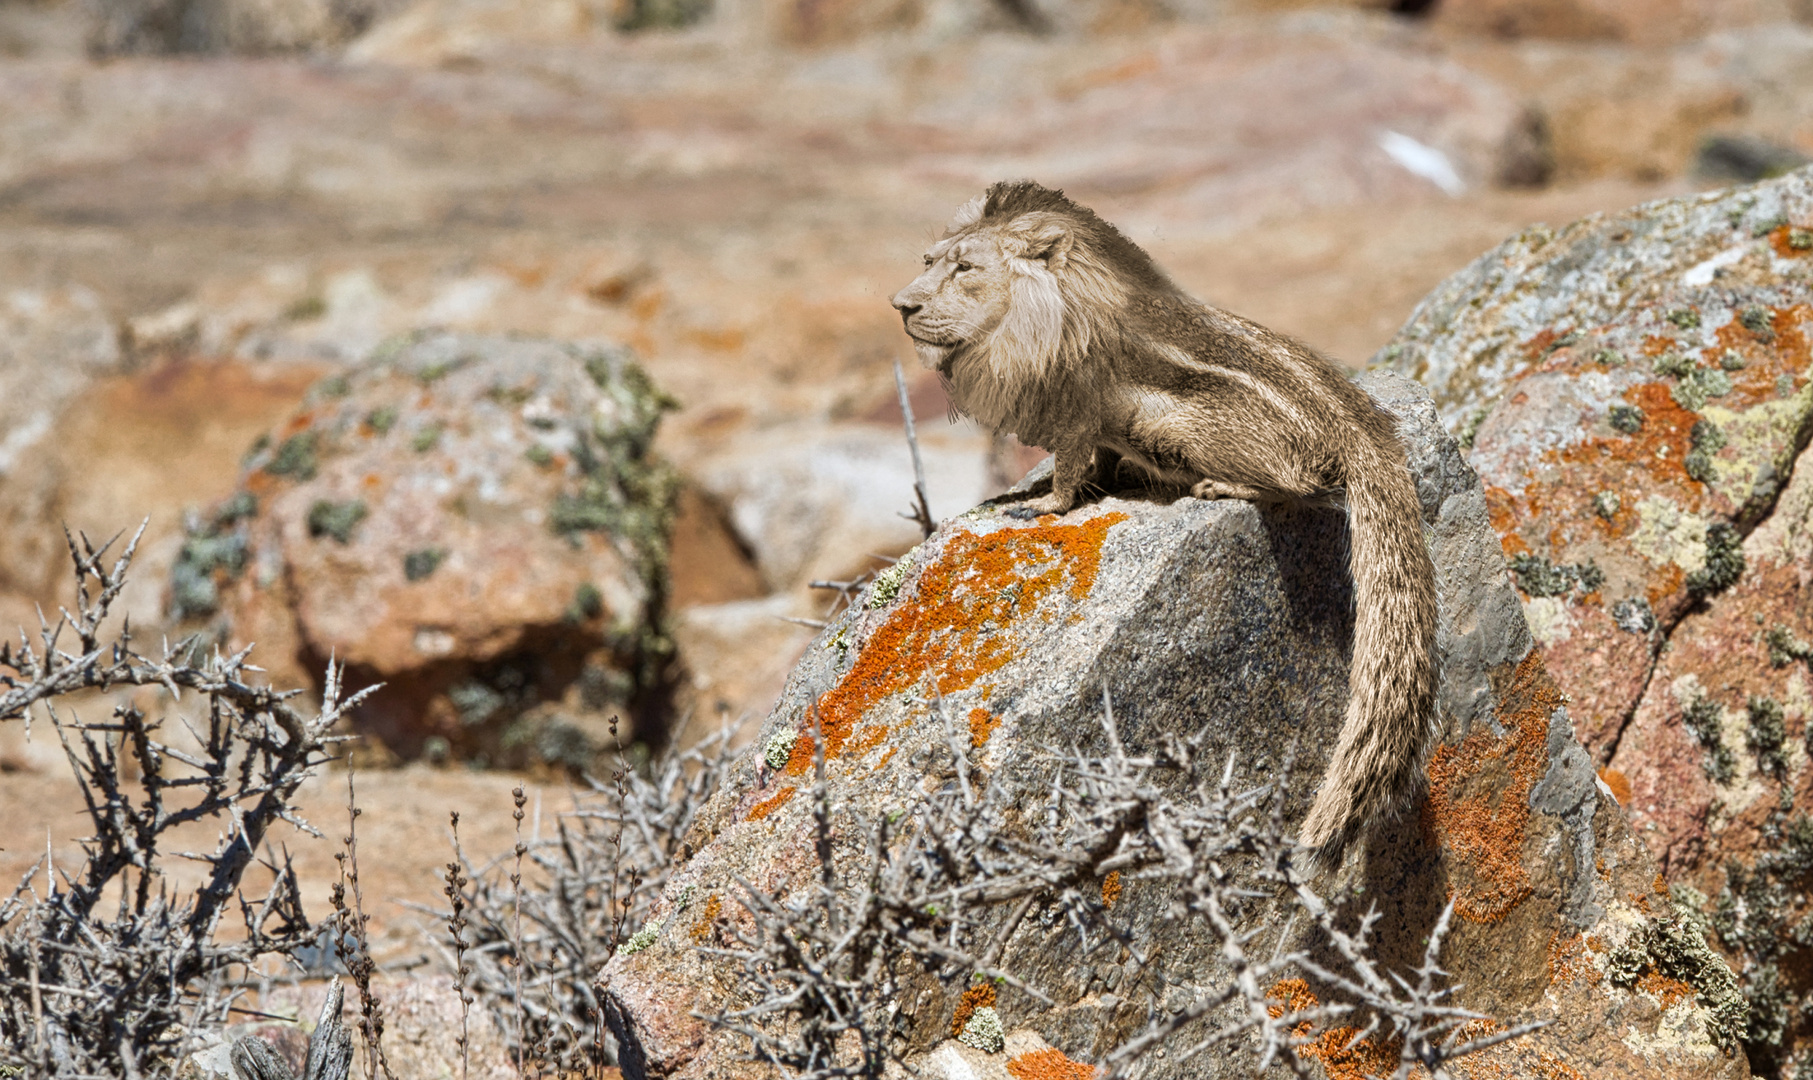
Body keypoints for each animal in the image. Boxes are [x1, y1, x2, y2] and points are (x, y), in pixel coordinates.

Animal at [884, 179, 1435, 869]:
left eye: (966, 268)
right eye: (929, 258)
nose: (900, 304)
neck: (1046, 311)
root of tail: (1363, 432)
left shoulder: (1077, 407)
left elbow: (1069, 468)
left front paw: (1040, 505)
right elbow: (1094, 462)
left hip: (1196, 432)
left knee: (1298, 484)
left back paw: (1220, 485)